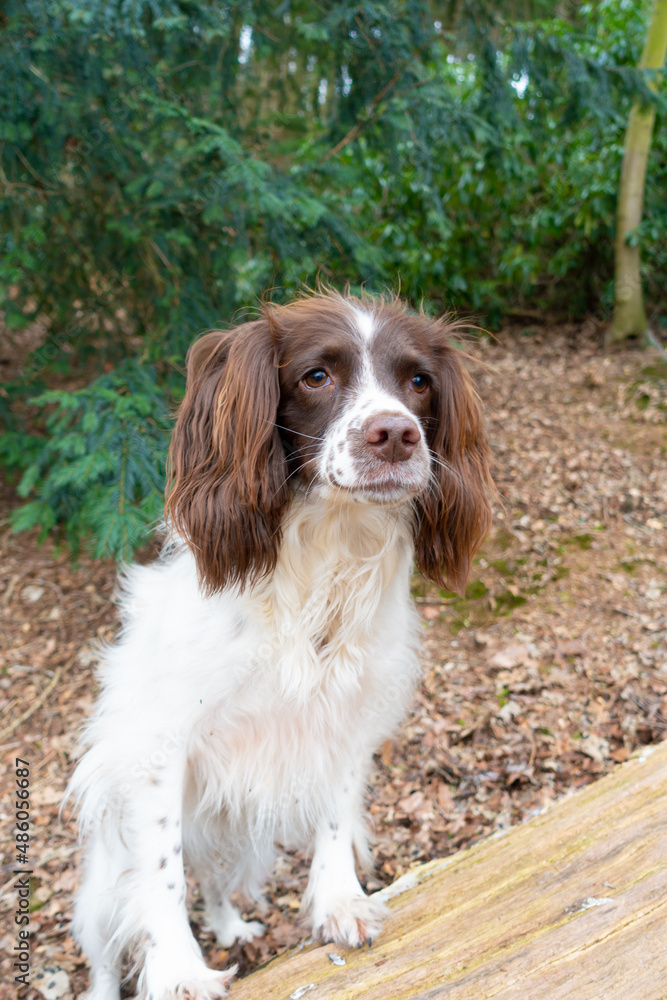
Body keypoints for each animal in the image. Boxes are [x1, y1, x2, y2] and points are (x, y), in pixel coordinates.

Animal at [68, 292, 494, 1000]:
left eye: (418, 381)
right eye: (316, 376)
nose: (397, 434)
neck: (325, 557)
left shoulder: (345, 719)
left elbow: (335, 816)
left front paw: (339, 903)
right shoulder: (161, 745)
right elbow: (162, 874)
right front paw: (179, 970)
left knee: (215, 878)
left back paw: (232, 928)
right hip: (106, 875)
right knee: (107, 943)